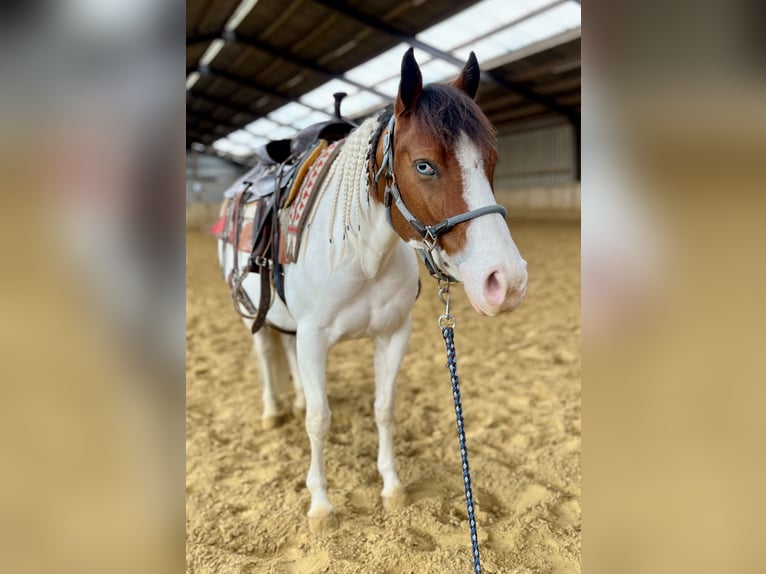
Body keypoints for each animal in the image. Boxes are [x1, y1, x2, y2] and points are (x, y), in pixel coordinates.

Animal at [218, 48, 528, 532]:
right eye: (424, 165)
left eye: (492, 161)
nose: (507, 281)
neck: (361, 258)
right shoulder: (313, 338)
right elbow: (319, 420)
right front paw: (321, 506)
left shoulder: (392, 334)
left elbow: (384, 408)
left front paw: (392, 487)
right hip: (253, 311)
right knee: (266, 355)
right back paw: (272, 411)